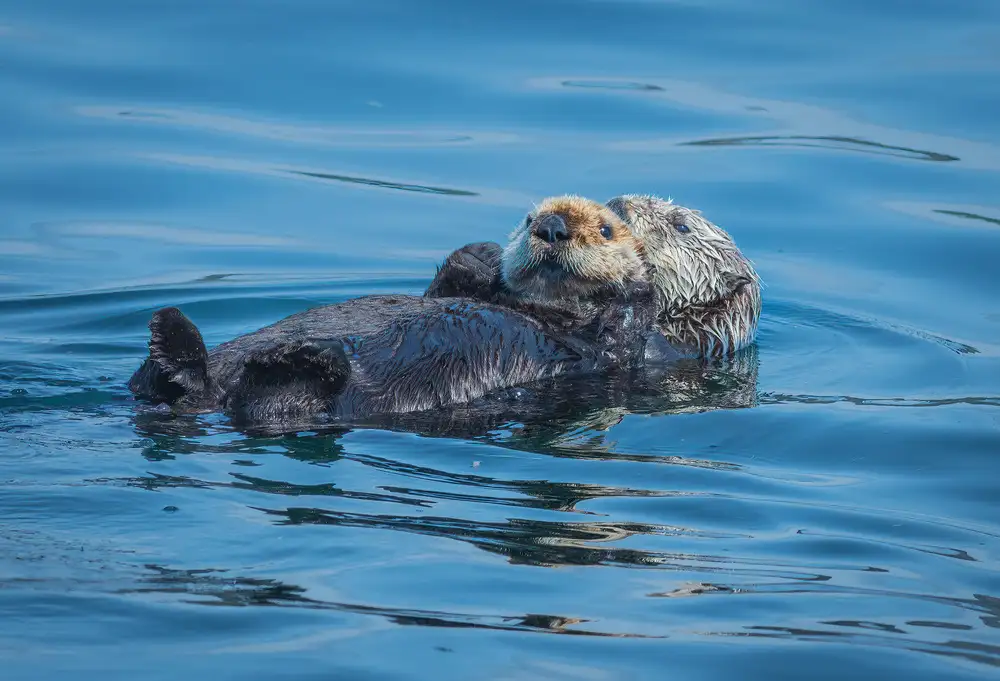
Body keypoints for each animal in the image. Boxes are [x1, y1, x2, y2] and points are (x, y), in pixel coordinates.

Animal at [127, 198, 660, 425]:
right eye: (528, 218)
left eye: (606, 230)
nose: (550, 226)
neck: (537, 307)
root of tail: (208, 393)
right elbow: (446, 287)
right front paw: (479, 257)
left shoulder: (607, 347)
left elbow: (618, 326)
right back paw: (169, 333)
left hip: (305, 399)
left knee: (273, 397)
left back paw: (300, 357)